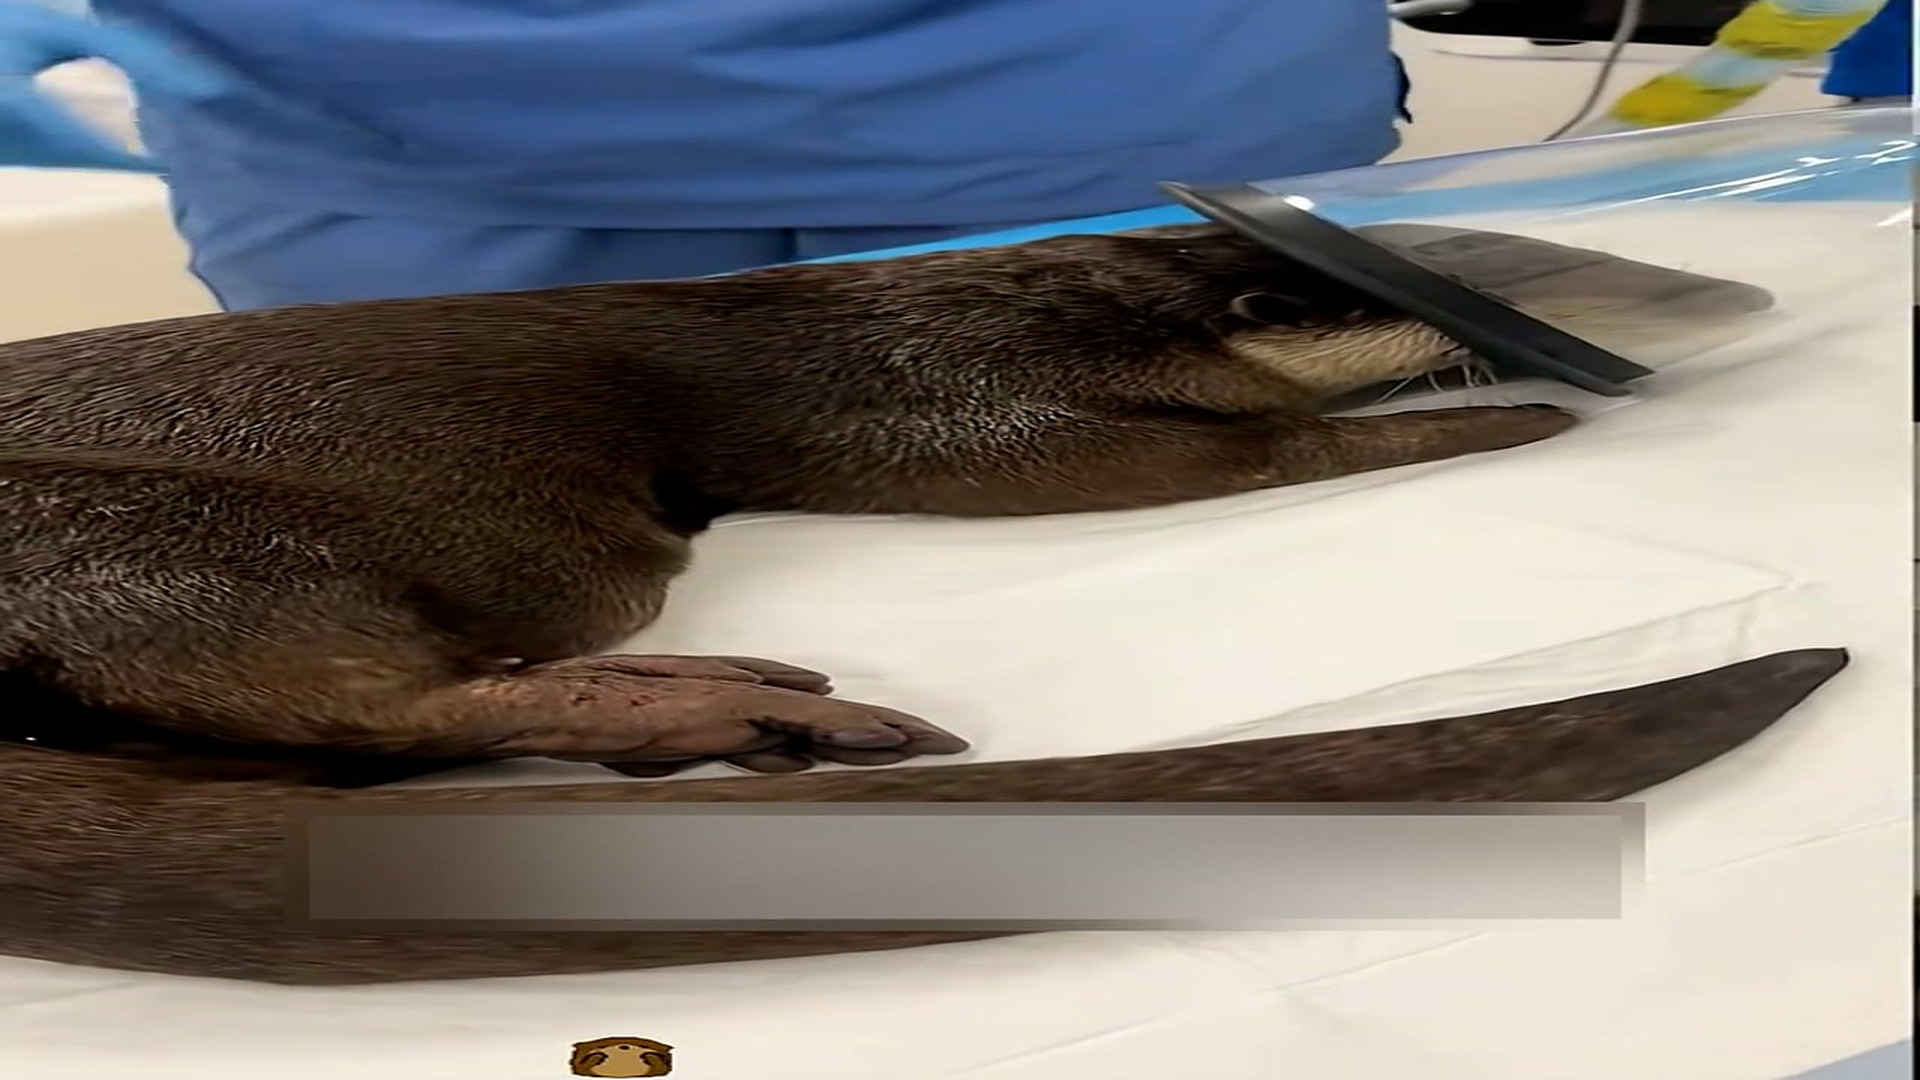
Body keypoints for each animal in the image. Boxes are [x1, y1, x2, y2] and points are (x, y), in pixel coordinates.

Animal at [0, 222, 1834, 984]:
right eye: (1499, 288)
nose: (1719, 301)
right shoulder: (930, 389)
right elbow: (1128, 462)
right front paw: (1493, 419)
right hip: (164, 537)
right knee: (350, 692)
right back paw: (721, 700)